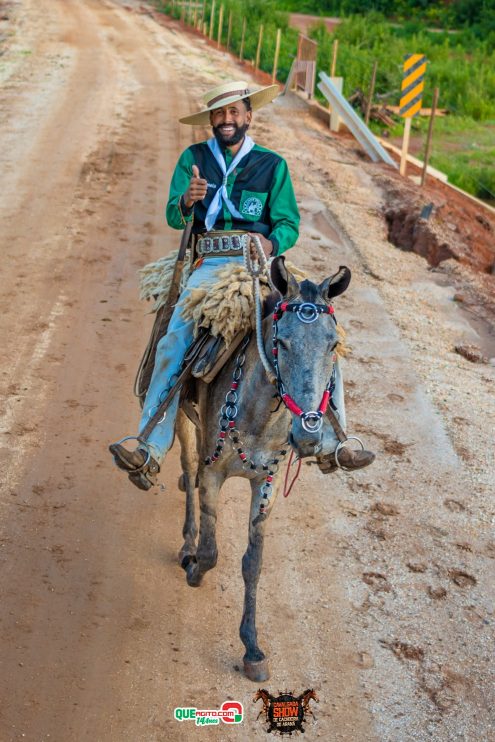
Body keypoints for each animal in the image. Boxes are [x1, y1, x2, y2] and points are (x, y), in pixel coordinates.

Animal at [176, 258, 350, 684]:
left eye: (332, 345)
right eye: (281, 342)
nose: (308, 435)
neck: (258, 415)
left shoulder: (266, 485)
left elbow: (252, 563)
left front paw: (252, 648)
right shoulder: (213, 473)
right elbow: (211, 550)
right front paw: (195, 567)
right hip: (184, 424)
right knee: (187, 469)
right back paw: (185, 541)